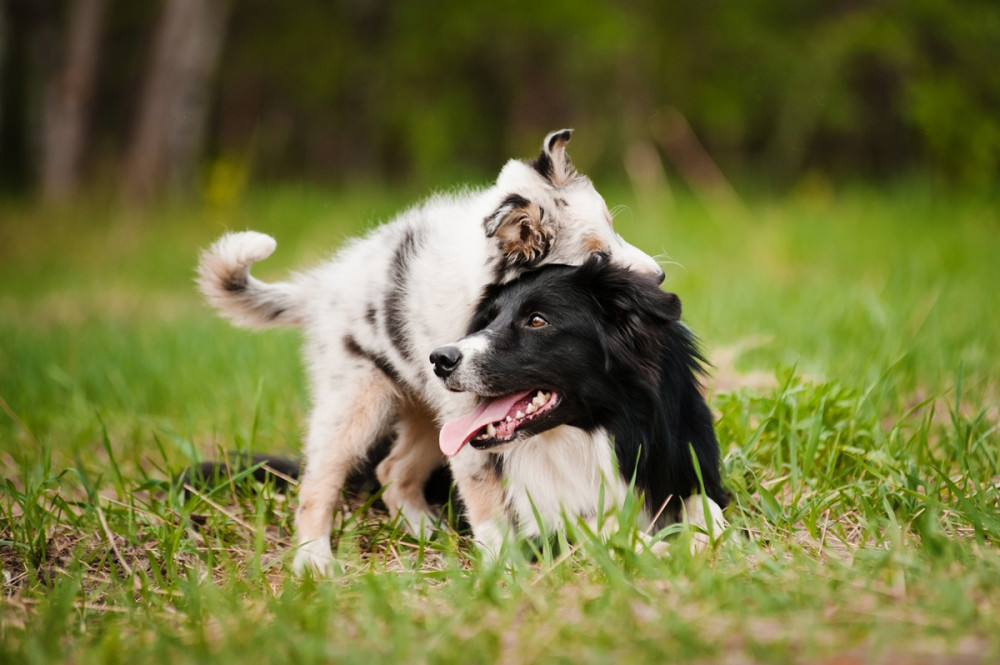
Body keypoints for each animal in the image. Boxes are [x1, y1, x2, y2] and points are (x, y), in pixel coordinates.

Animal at [197, 130, 664, 572]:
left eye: (614, 229)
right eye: (598, 256)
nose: (659, 277)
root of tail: (321, 287)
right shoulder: (470, 416)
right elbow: (487, 499)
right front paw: (503, 565)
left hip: (425, 408)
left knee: (392, 470)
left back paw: (425, 532)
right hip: (353, 403)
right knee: (319, 481)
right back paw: (313, 559)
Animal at [430, 256, 728, 552]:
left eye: (537, 321)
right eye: (486, 321)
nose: (439, 359)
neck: (596, 432)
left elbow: (702, 502)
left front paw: (714, 540)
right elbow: (595, 524)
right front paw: (660, 549)